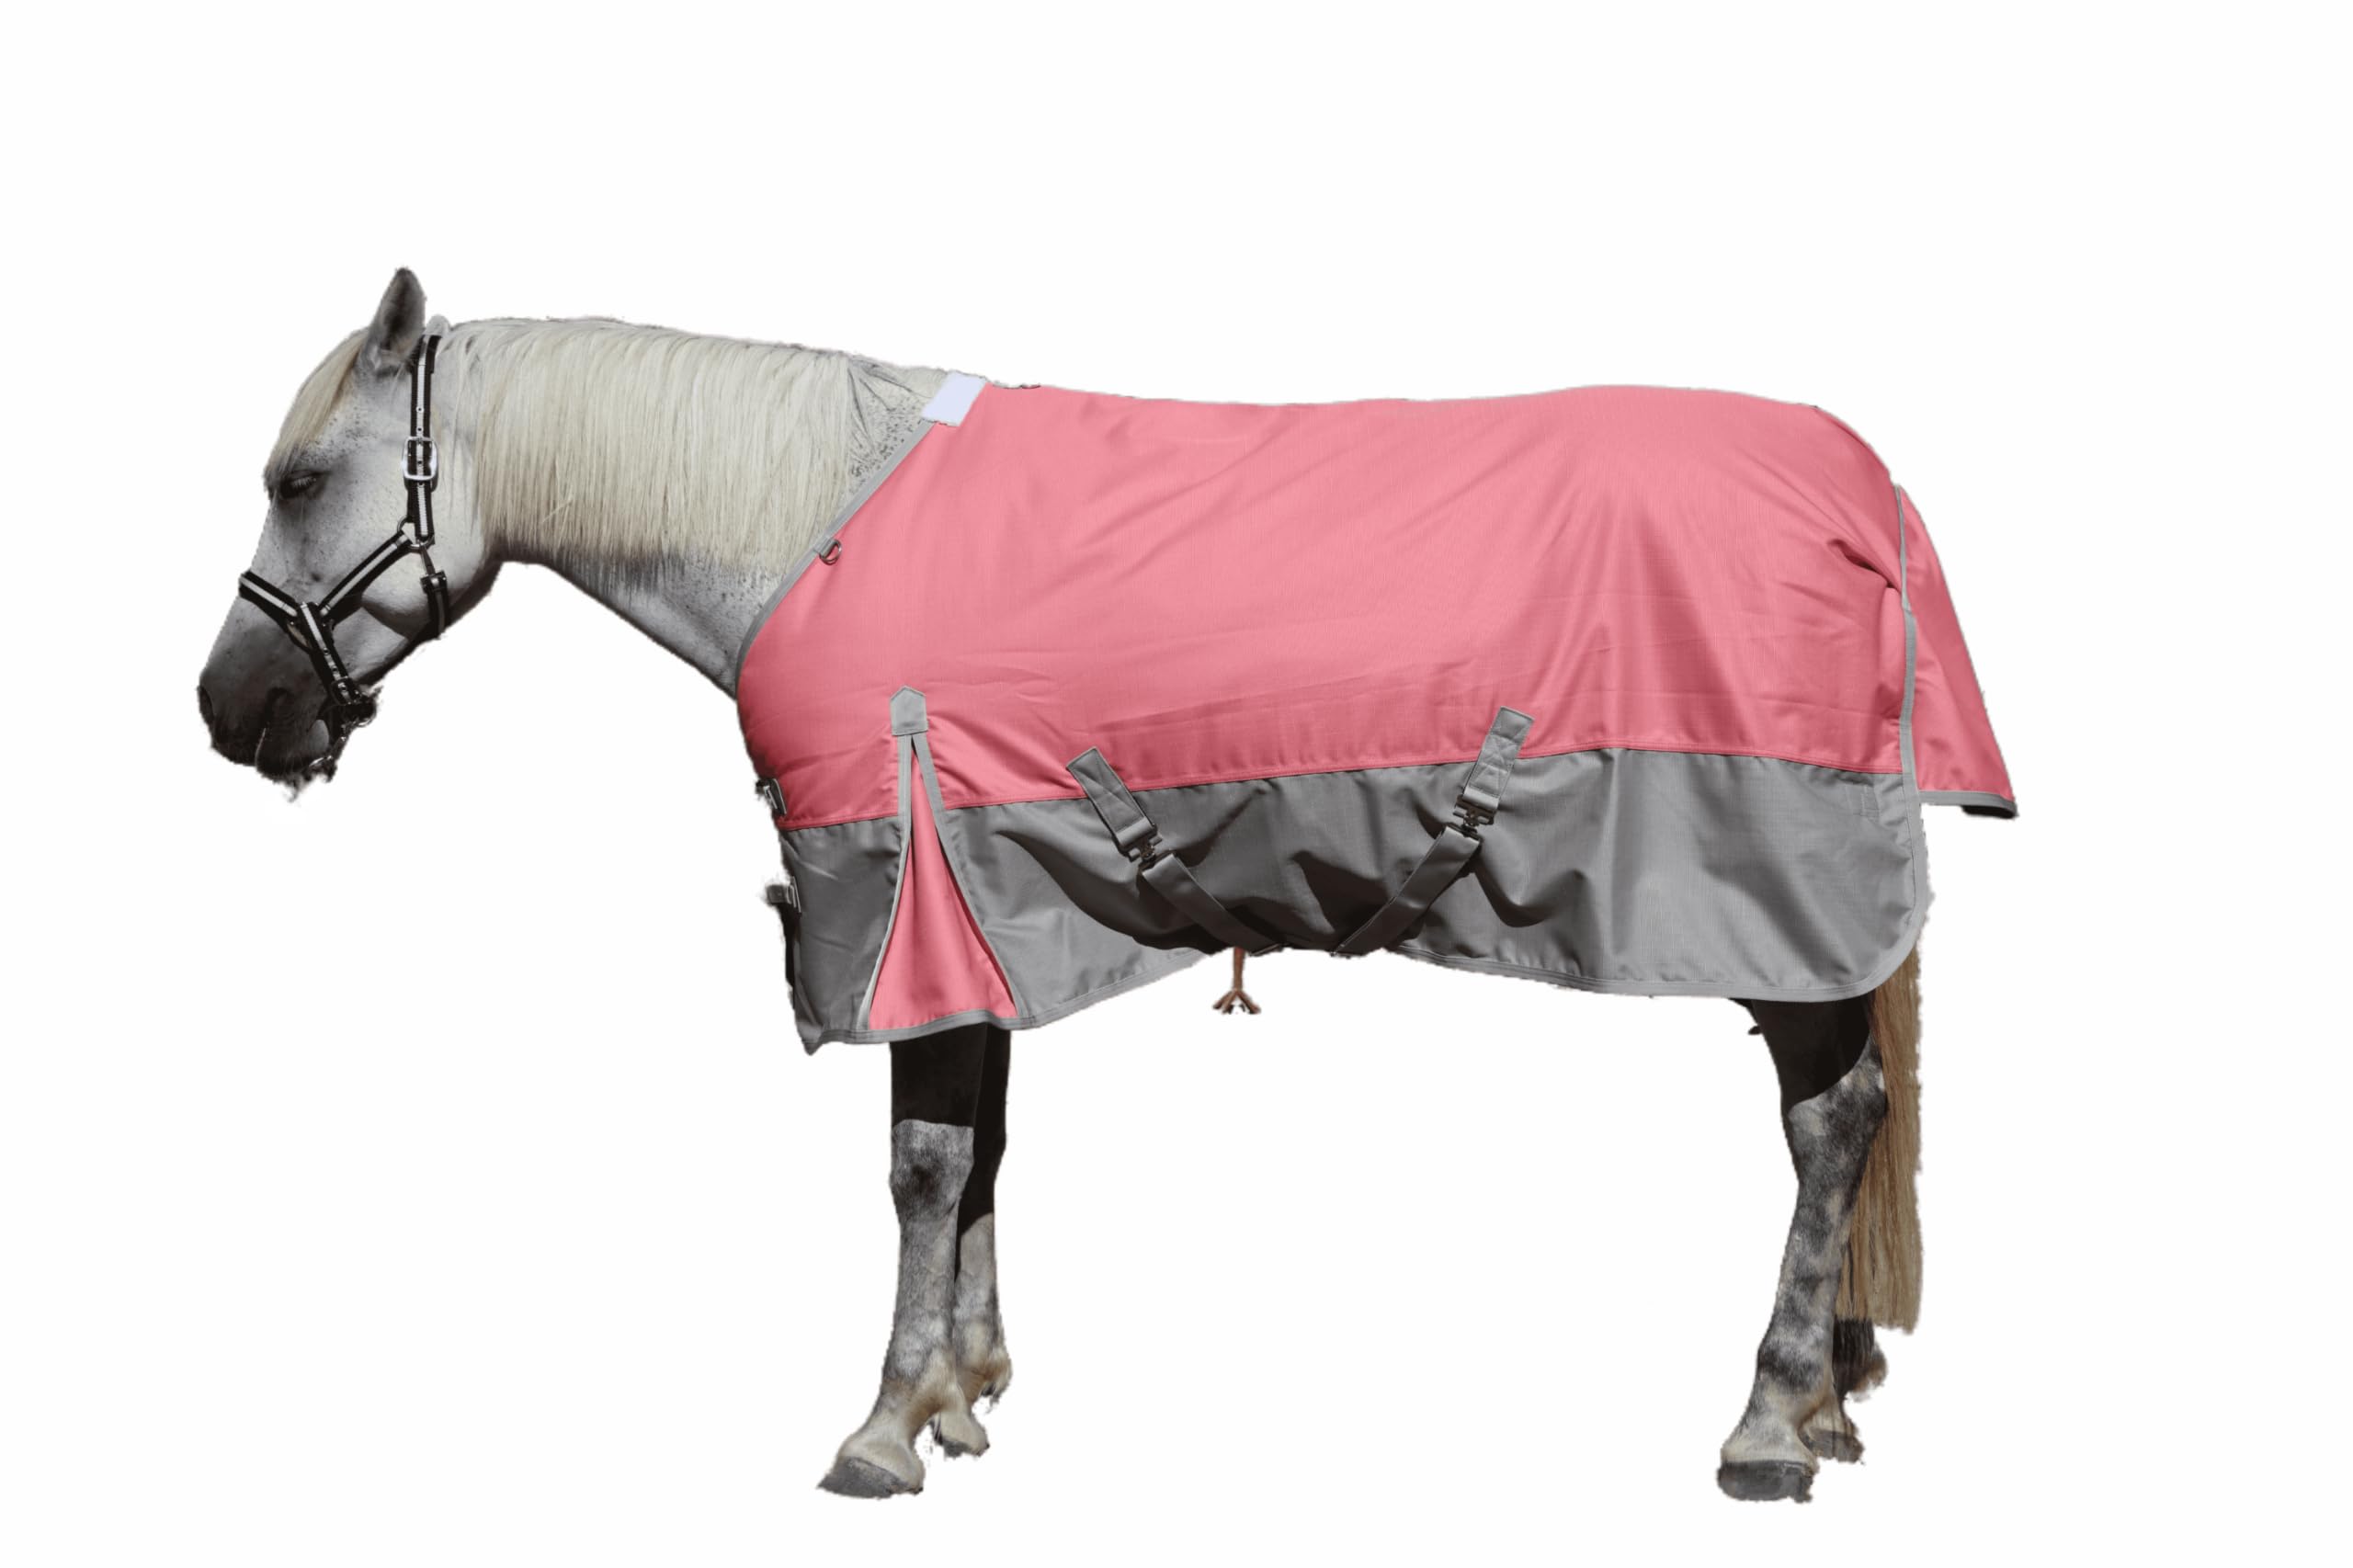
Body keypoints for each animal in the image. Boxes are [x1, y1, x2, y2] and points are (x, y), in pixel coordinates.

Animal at [198, 269, 2010, 1503]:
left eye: (299, 481)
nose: (232, 709)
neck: (809, 531)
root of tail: (1867, 493)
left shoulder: (902, 889)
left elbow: (922, 1164)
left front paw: (883, 1423)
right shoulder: (983, 908)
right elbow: (979, 1151)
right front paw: (967, 1391)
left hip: (1778, 895)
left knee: (1831, 1121)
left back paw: (1771, 1419)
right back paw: (1828, 1395)